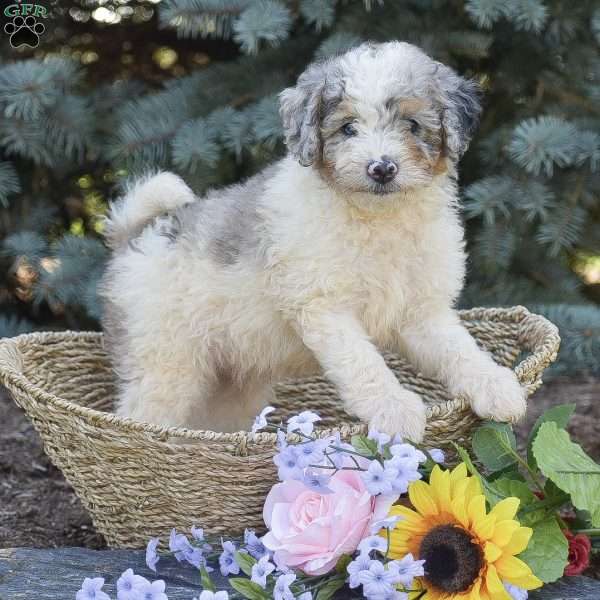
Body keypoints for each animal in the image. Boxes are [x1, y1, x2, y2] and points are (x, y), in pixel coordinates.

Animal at [101, 39, 528, 438]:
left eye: (412, 125)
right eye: (348, 128)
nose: (381, 168)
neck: (377, 220)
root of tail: (136, 235)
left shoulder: (422, 312)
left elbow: (460, 348)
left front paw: (498, 387)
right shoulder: (325, 306)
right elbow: (364, 362)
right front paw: (393, 409)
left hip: (231, 383)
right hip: (164, 362)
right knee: (137, 415)